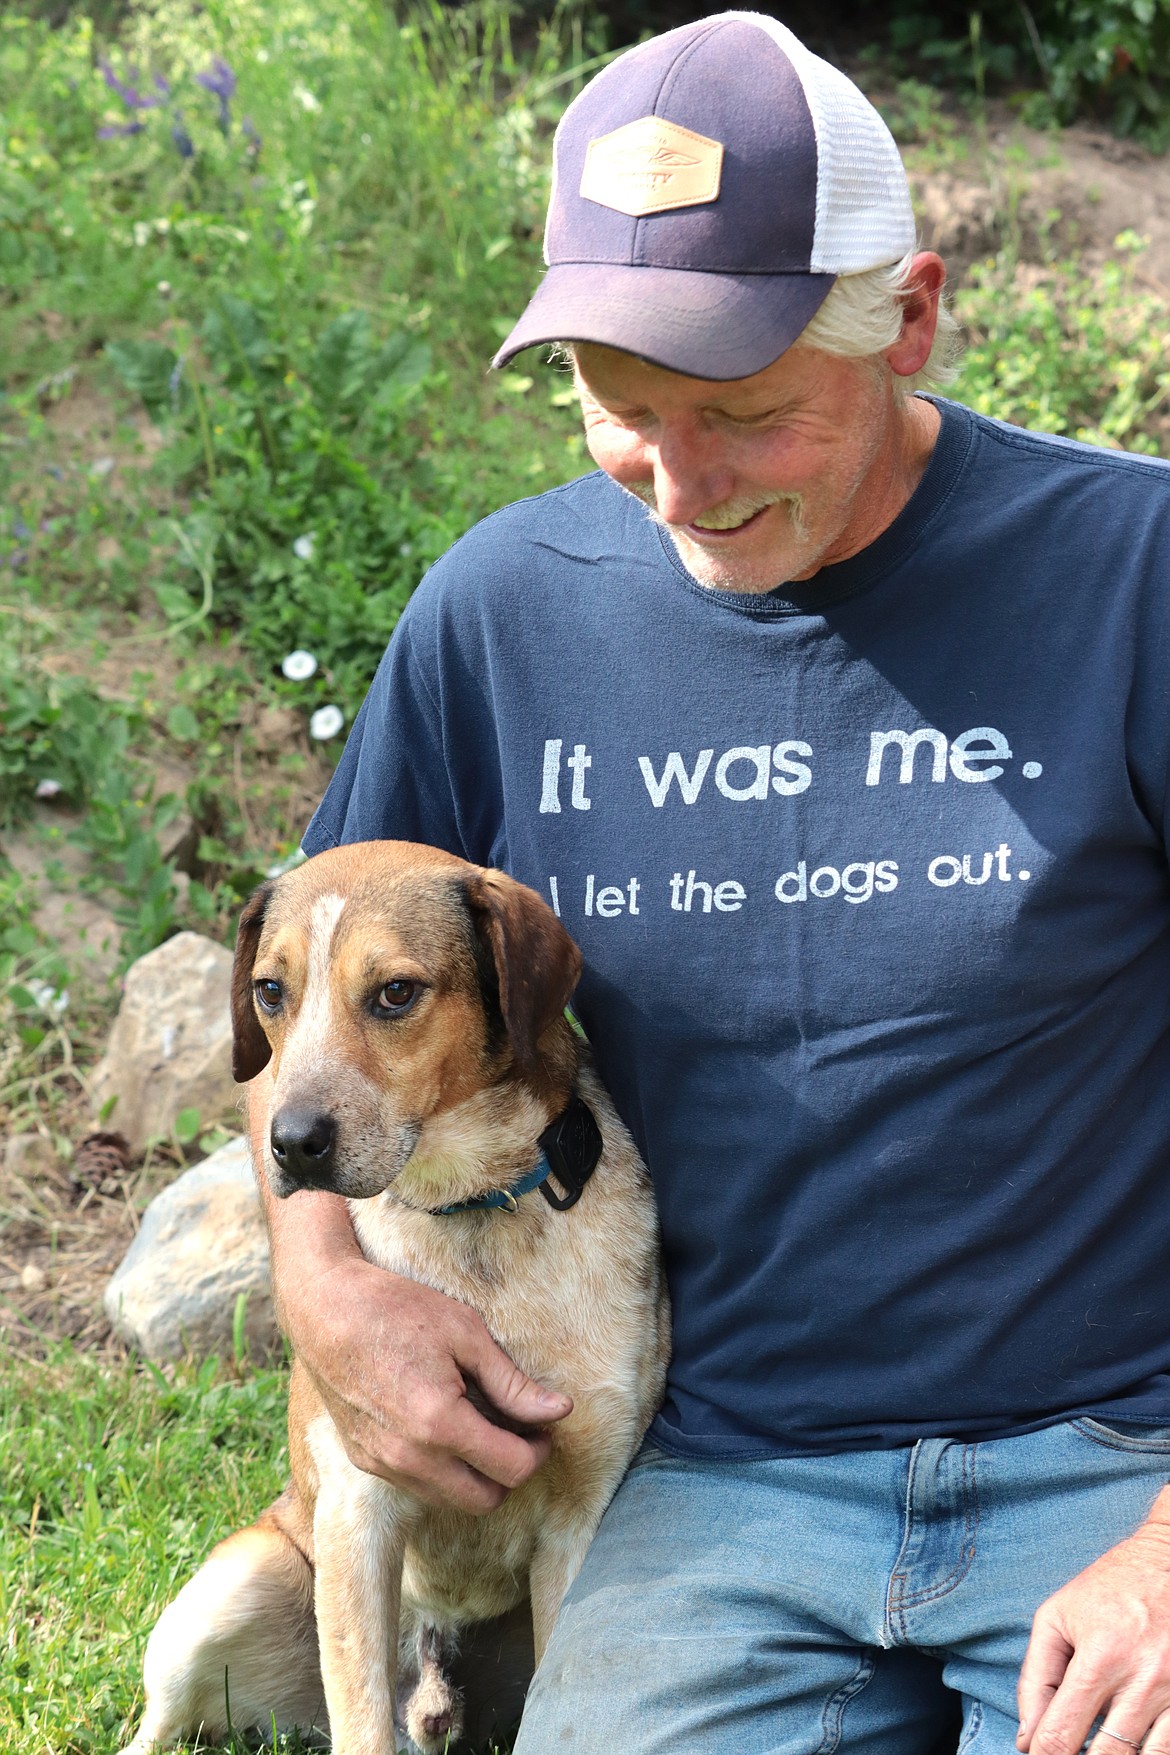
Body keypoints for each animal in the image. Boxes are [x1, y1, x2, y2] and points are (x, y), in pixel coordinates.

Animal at [120, 838, 673, 1755]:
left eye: (396, 992)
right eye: (270, 990)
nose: (291, 1141)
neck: (472, 1211)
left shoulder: (580, 1516)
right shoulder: (359, 1514)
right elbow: (361, 1724)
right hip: (225, 1595)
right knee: (161, 1726)